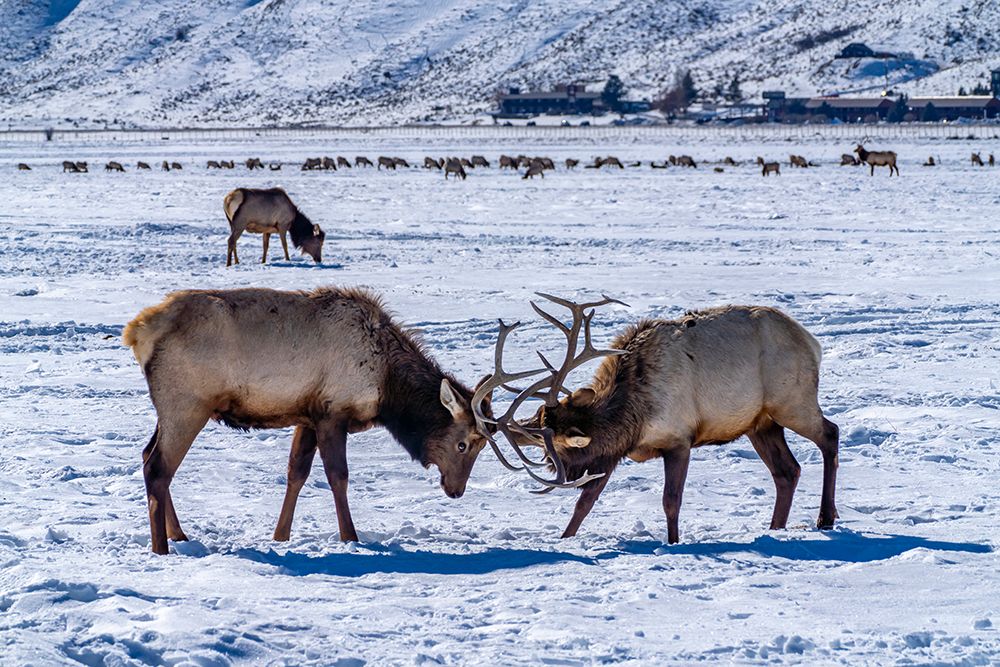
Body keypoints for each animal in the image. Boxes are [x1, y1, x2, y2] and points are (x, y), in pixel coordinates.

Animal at [123, 286, 495, 554]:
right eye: (463, 444)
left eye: (482, 447)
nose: (456, 491)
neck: (387, 388)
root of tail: (137, 332)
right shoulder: (333, 412)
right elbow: (338, 476)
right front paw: (350, 537)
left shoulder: (307, 415)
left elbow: (296, 473)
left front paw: (280, 535)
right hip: (187, 404)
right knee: (158, 467)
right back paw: (160, 549)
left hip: (172, 409)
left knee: (148, 456)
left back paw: (179, 535)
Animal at [471, 295, 840, 544]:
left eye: (548, 439)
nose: (502, 426)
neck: (634, 415)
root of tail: (813, 343)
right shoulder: (611, 454)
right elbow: (584, 504)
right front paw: (565, 539)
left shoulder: (679, 441)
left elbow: (670, 501)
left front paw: (673, 542)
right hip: (759, 423)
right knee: (787, 471)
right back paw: (776, 528)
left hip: (792, 402)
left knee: (830, 434)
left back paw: (825, 518)